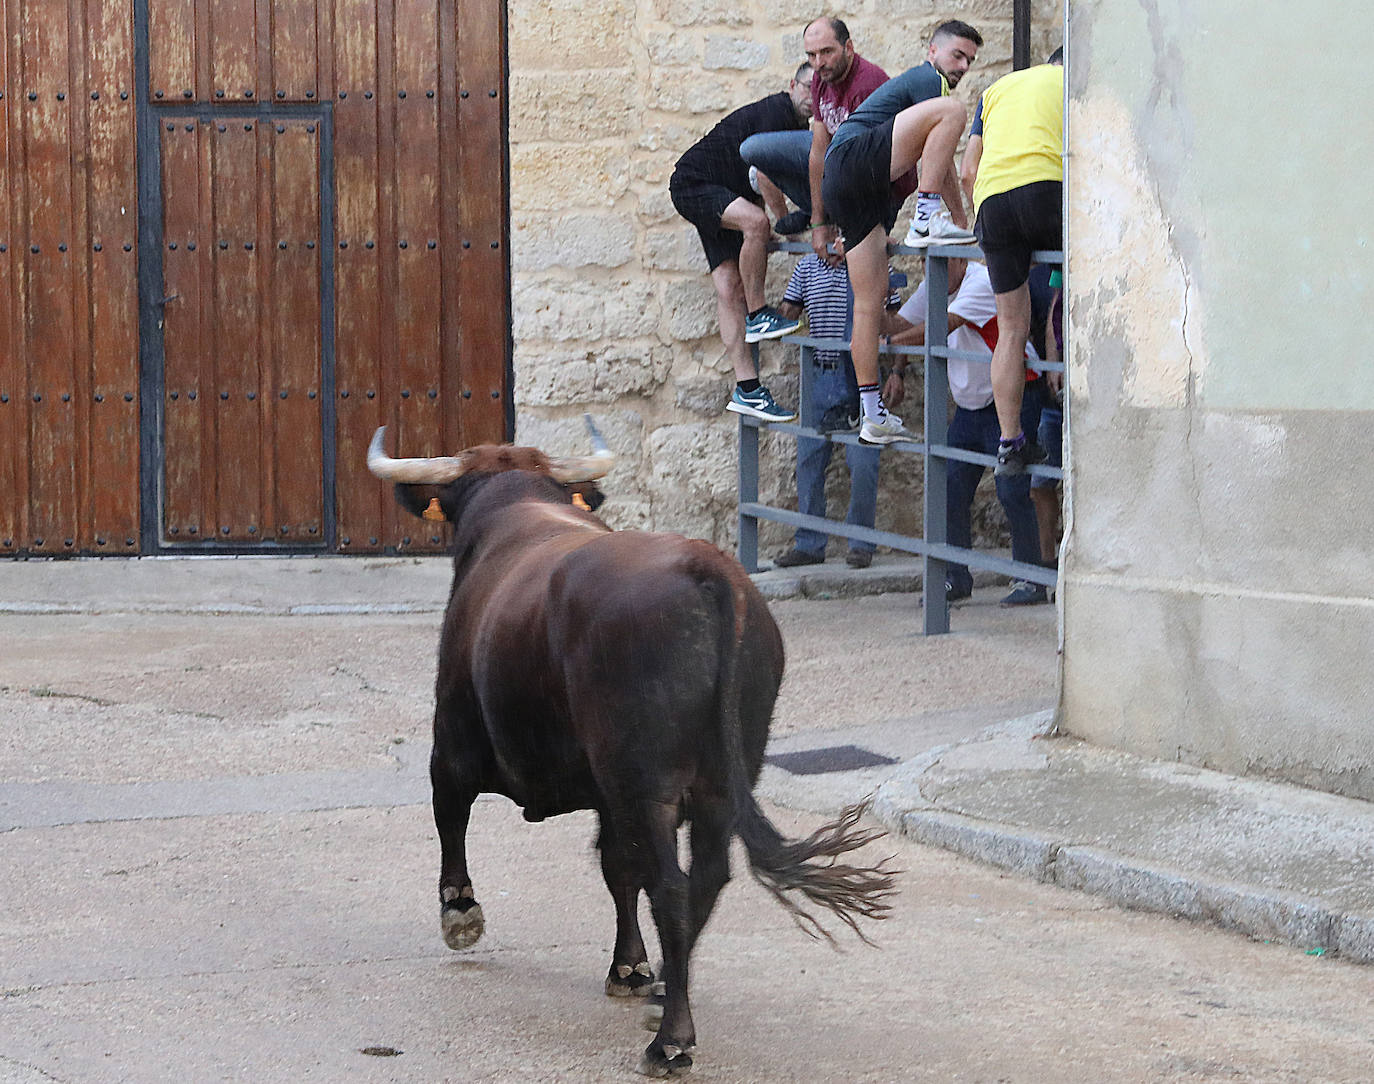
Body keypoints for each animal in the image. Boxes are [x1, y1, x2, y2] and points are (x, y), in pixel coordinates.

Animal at [370, 425, 895, 1071]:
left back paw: (670, 1040)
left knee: (670, 884)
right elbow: (617, 867)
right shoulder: (607, 790)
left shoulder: (454, 739)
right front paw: (631, 966)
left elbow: (452, 814)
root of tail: (706, 569)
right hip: (716, 782)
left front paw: (461, 913)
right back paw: (670, 986)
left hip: (649, 785)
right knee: (702, 877)